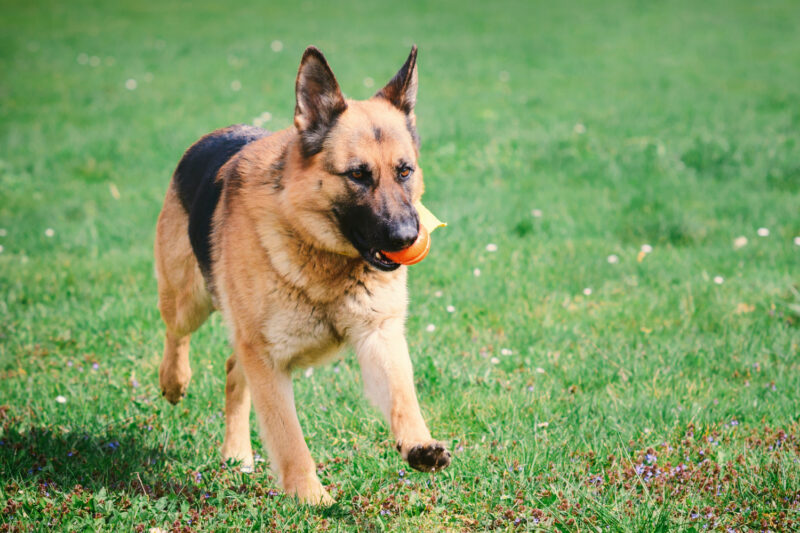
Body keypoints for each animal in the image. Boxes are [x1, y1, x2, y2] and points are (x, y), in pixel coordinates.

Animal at [151, 45, 450, 502]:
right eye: (357, 174)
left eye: (404, 171)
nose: (406, 237)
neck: (324, 256)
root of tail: (210, 136)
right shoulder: (267, 360)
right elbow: (289, 439)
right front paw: (311, 498)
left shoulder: (379, 334)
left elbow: (403, 398)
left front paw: (418, 444)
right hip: (190, 301)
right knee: (176, 332)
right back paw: (174, 381)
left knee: (232, 370)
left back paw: (237, 454)